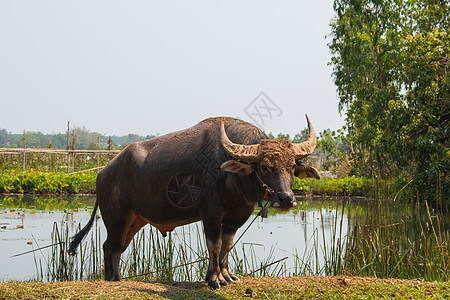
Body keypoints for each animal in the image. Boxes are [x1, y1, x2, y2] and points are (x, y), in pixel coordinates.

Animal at [67, 115, 320, 288]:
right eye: (265, 167)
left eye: (292, 167)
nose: (286, 198)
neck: (231, 177)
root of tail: (103, 172)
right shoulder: (211, 214)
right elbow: (214, 245)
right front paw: (214, 279)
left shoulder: (235, 217)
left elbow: (227, 245)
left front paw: (227, 275)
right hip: (116, 218)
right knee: (110, 246)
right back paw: (112, 280)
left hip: (134, 220)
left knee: (117, 248)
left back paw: (116, 278)